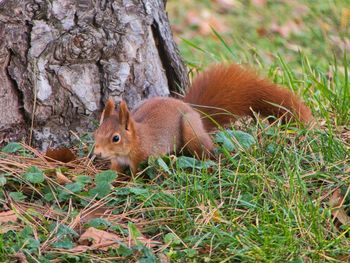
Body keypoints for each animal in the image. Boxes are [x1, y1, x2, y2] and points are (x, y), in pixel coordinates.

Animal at [93, 63, 312, 175]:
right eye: (96, 132)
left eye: (115, 138)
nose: (97, 153)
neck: (135, 138)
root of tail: (194, 112)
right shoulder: (117, 162)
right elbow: (114, 173)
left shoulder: (142, 156)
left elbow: (136, 175)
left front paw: (132, 182)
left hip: (190, 133)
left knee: (206, 151)